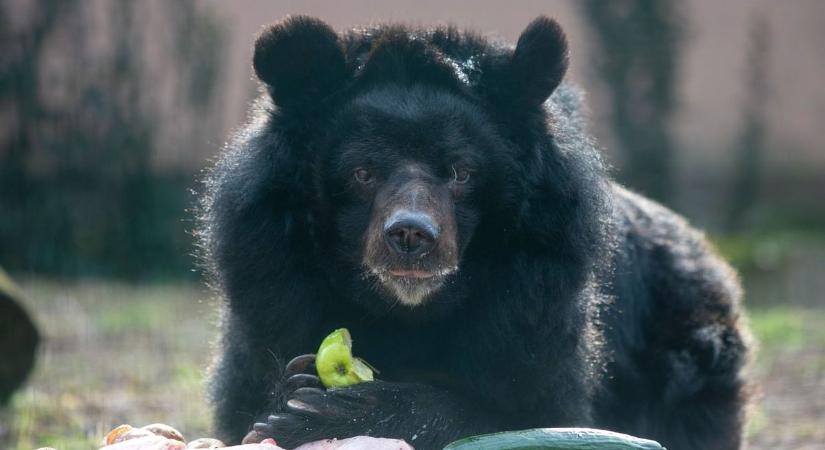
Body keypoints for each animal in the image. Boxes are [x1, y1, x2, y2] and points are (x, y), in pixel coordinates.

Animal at [196, 14, 748, 450]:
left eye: (461, 173)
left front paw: (326, 411)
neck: (407, 311)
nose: (411, 236)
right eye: (363, 172)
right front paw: (294, 387)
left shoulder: (535, 301)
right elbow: (246, 397)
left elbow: (521, 413)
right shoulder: (271, 281)